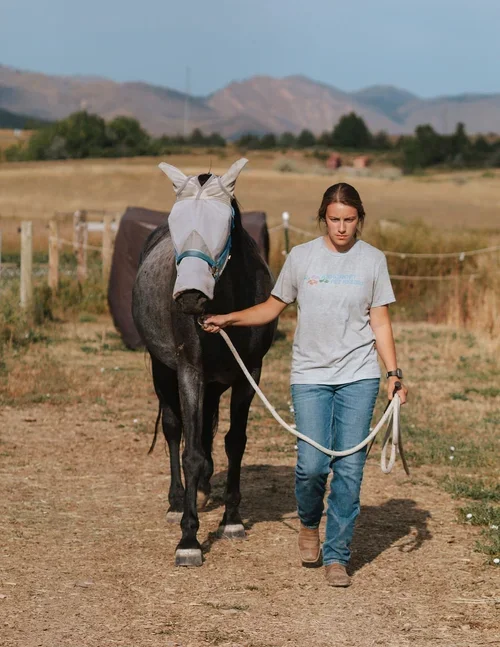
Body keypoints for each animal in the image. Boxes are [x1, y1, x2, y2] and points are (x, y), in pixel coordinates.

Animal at [132, 159, 276, 566]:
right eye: (174, 221)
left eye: (224, 223)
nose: (190, 297)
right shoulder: (190, 372)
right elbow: (191, 452)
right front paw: (189, 539)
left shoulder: (249, 373)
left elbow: (234, 442)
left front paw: (232, 520)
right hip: (162, 370)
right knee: (174, 429)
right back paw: (176, 500)